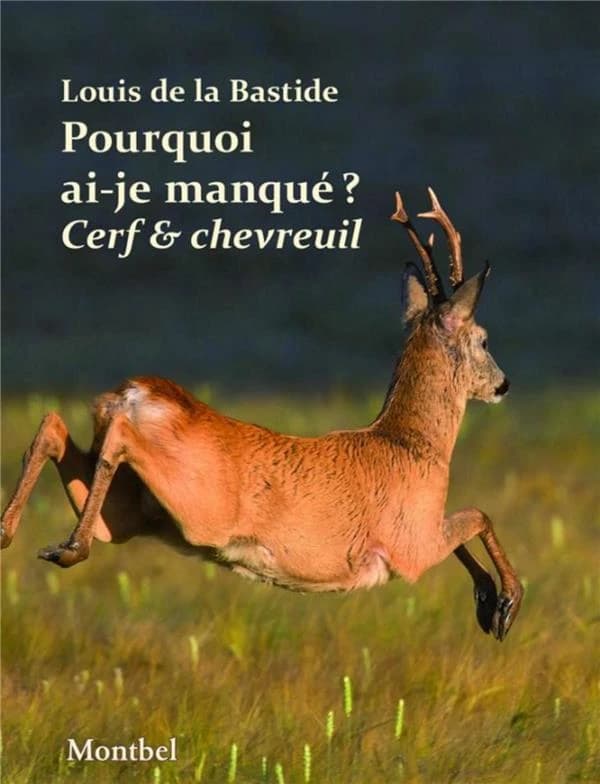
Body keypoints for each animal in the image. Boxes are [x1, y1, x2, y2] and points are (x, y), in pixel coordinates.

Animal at [1, 188, 523, 641]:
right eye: (483, 339)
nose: (503, 384)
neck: (412, 443)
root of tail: (133, 393)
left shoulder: (418, 536)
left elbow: (469, 526)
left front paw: (487, 601)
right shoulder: (410, 546)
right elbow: (478, 515)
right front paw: (503, 604)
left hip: (129, 513)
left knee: (55, 427)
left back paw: (17, 536)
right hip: (198, 506)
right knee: (116, 439)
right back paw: (68, 547)